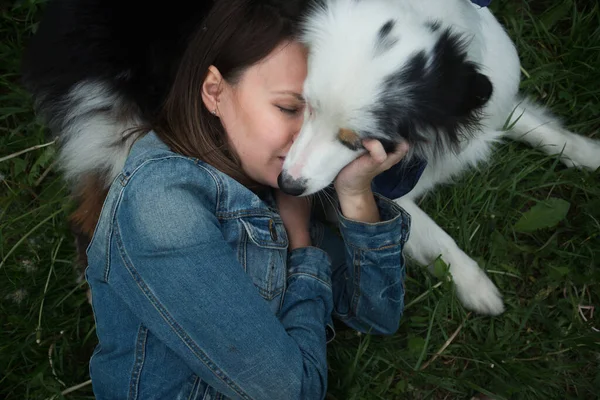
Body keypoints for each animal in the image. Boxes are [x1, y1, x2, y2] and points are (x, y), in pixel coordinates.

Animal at [21, 0, 596, 316]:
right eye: (299, 106)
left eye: (356, 138)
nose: (290, 187)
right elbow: (433, 235)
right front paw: (477, 286)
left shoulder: (484, 96)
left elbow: (534, 124)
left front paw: (585, 151)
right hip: (122, 122)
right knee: (96, 203)